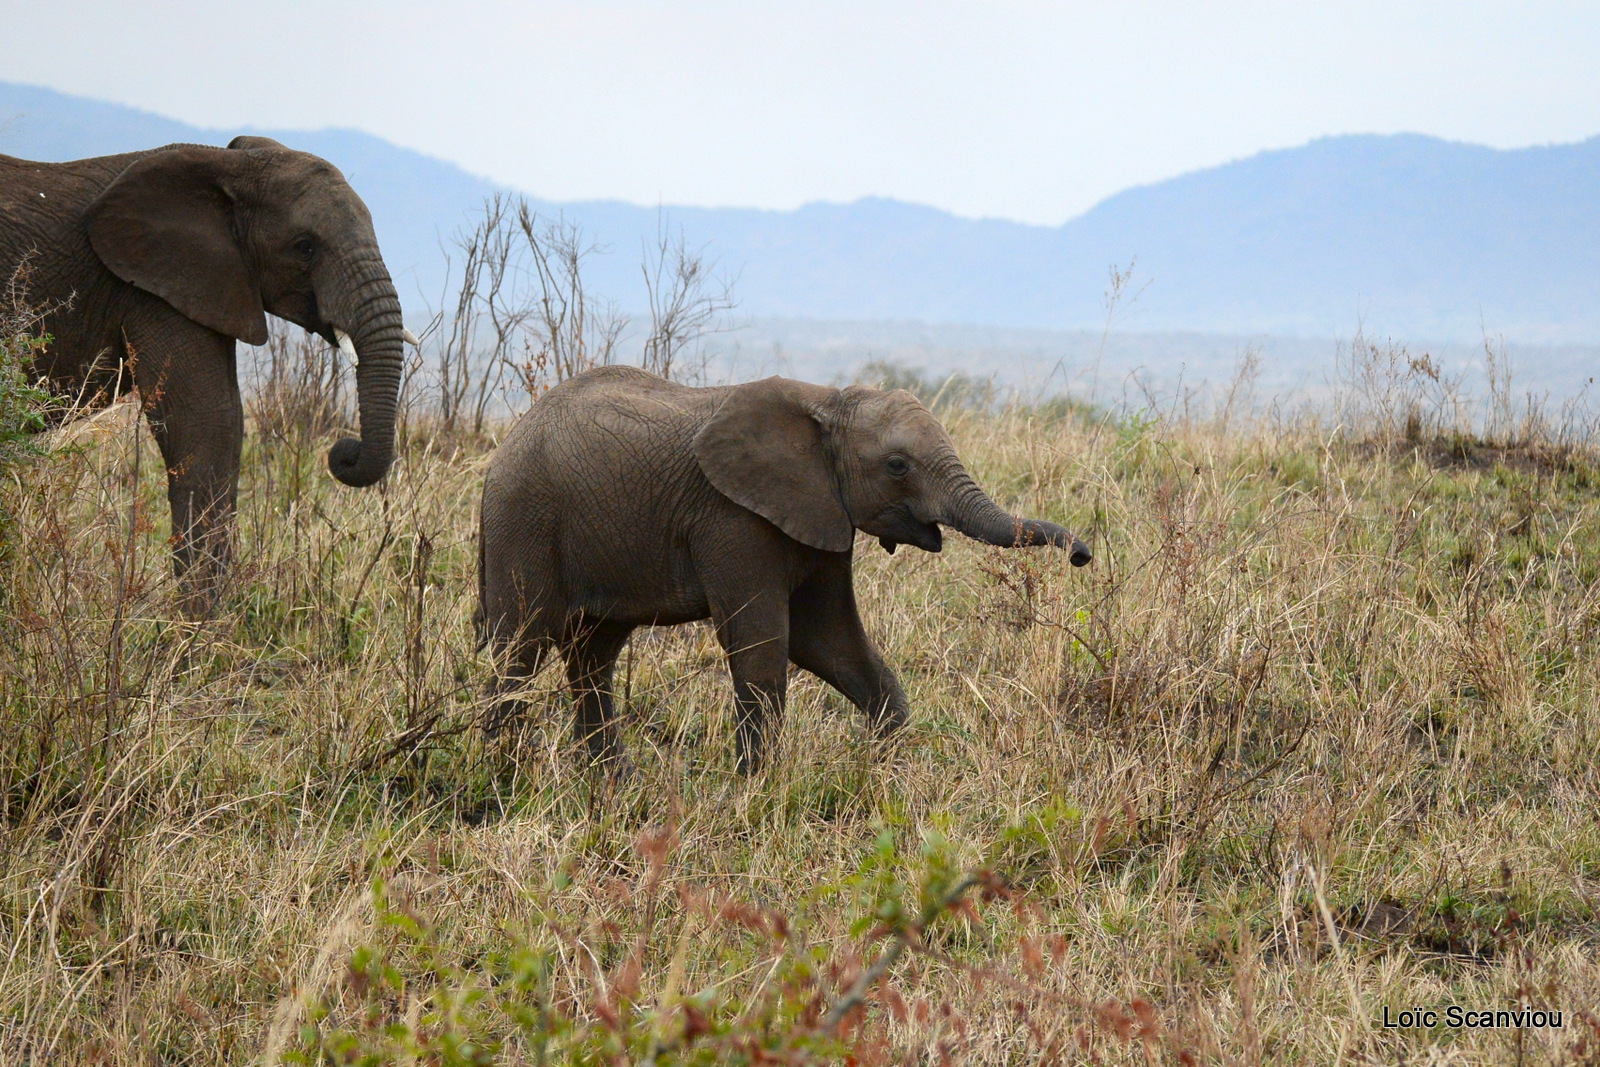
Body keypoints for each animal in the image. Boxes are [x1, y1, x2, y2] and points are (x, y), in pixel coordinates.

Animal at [3, 137, 412, 614]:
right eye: (304, 247)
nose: (344, 451)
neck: (227, 163)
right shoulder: (156, 283)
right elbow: (208, 422)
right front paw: (199, 627)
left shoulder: (200, 282)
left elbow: (220, 422)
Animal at [473, 369, 1094, 777]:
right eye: (897, 466)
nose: (1081, 556)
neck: (827, 403)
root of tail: (503, 449)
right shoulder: (733, 518)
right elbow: (762, 643)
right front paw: (756, 788)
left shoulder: (821, 514)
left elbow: (830, 641)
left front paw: (887, 768)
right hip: (523, 522)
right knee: (519, 646)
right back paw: (506, 774)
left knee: (592, 654)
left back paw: (613, 783)